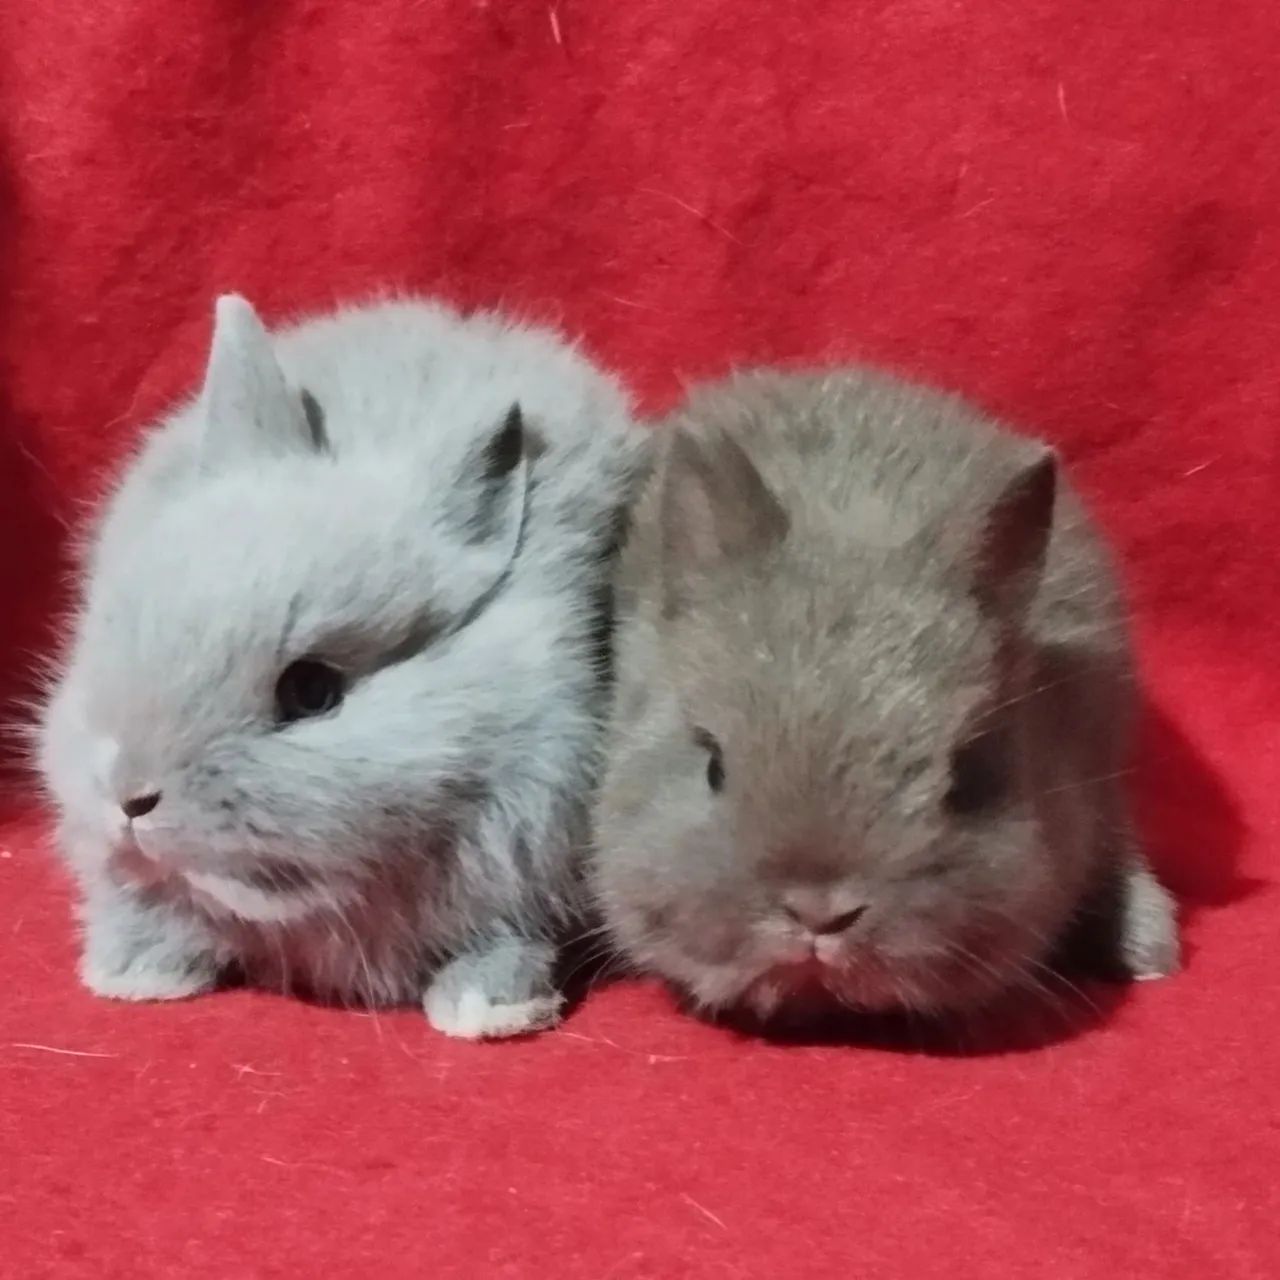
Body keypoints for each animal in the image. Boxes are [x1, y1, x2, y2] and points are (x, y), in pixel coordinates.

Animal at [36, 293, 648, 1038]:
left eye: (312, 691)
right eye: (126, 620)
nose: (130, 798)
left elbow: (504, 939)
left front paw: (487, 1012)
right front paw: (134, 978)